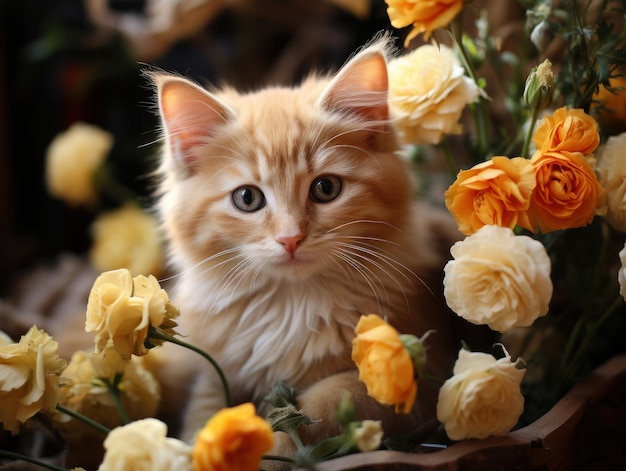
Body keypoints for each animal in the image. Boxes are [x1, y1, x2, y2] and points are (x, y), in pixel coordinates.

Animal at [147, 38, 458, 456]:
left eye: (326, 188)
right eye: (247, 198)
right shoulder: (215, 371)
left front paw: (272, 445)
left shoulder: (420, 375)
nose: (290, 237)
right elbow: (206, 414)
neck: (291, 307)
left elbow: (324, 404)